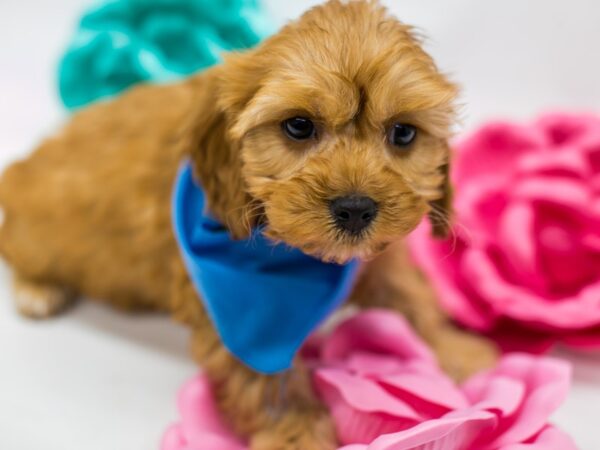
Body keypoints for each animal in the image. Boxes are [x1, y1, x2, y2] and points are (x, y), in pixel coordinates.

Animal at [0, 1, 496, 448]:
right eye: (298, 126)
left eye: (404, 133)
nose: (356, 208)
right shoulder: (240, 317)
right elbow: (268, 382)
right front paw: (299, 438)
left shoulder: (378, 259)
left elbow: (409, 295)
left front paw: (458, 351)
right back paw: (37, 289)